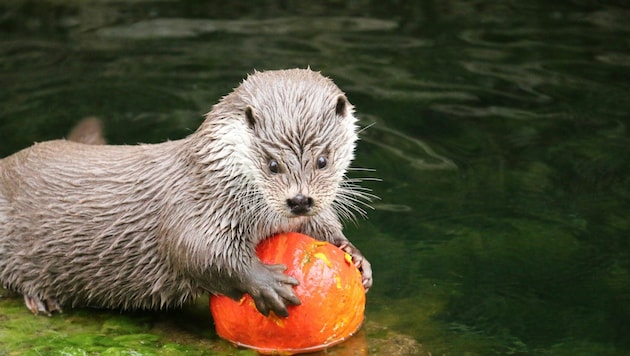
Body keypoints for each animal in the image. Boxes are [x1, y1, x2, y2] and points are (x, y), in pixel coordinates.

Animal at [0, 69, 372, 318]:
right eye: (272, 164)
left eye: (323, 160)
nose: (299, 201)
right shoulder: (195, 205)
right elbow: (198, 250)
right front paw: (266, 281)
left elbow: (322, 227)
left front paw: (354, 255)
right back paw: (42, 299)